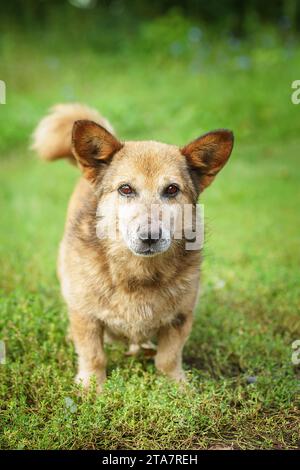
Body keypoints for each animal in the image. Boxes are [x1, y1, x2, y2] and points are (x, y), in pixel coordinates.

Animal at [32, 104, 234, 392]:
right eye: (125, 189)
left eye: (172, 189)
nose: (149, 237)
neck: (139, 274)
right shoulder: (86, 316)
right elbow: (93, 355)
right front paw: (91, 388)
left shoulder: (180, 318)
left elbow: (168, 358)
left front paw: (178, 388)